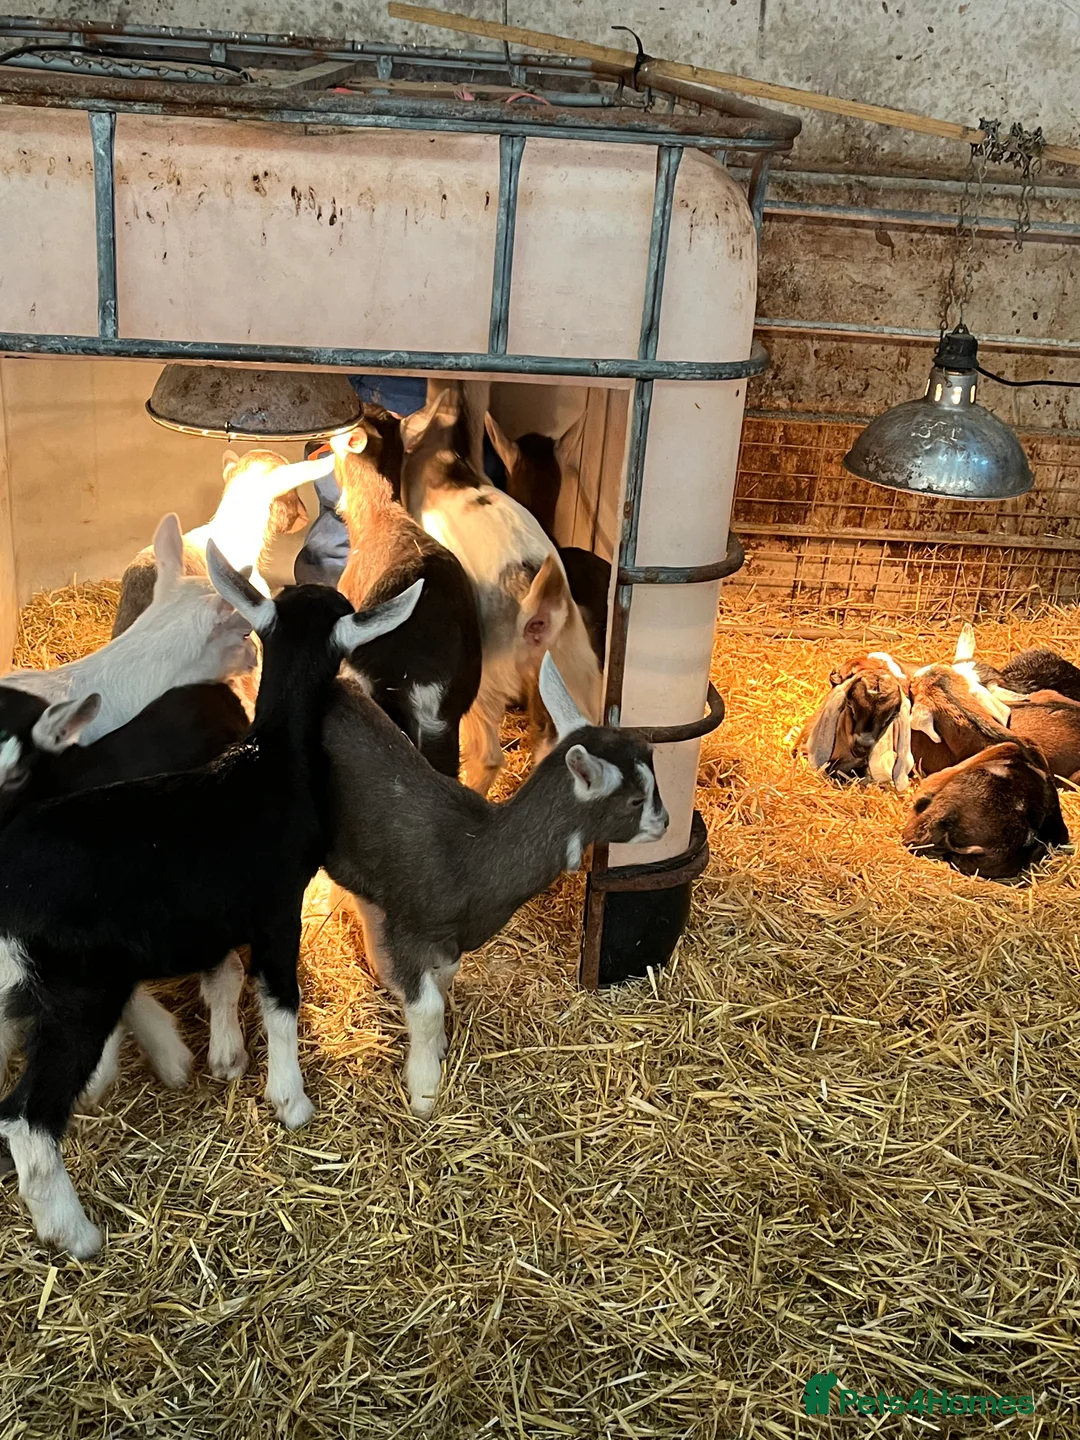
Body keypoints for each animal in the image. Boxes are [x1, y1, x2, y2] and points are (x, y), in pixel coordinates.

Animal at [0, 547, 422, 1257]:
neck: (267, 761)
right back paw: (76, 1234)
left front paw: (225, 1060)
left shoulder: (215, 912)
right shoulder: (276, 908)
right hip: (75, 993)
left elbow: (222, 975)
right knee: (25, 1119)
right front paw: (291, 1100)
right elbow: (278, 998)